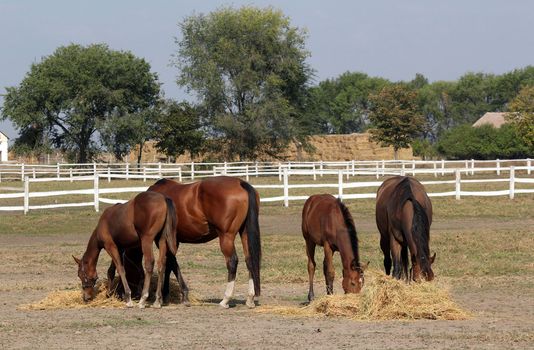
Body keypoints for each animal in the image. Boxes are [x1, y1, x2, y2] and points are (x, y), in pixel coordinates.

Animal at [149, 176, 262, 308]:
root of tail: (240, 183)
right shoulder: (173, 241)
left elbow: (171, 263)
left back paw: (225, 300)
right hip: (245, 234)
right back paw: (250, 299)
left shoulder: (162, 240)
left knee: (232, 261)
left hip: (226, 236)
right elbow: (170, 263)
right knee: (250, 261)